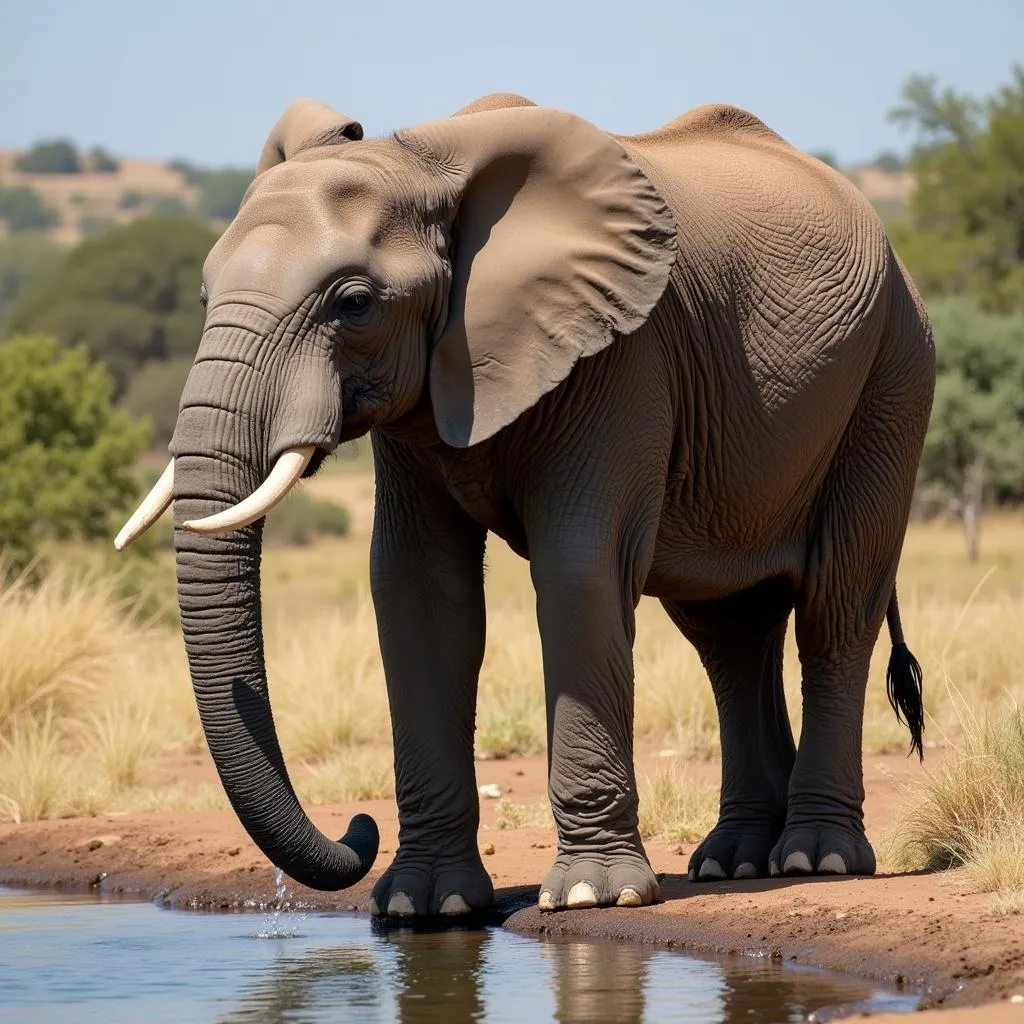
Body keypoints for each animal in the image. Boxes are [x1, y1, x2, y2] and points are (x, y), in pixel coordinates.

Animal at [117, 92, 937, 917]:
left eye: (354, 303)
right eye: (204, 296)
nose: (357, 830)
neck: (425, 162)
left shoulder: (623, 355)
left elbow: (578, 573)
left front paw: (590, 897)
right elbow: (417, 591)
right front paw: (423, 909)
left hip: (894, 372)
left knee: (836, 607)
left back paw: (814, 858)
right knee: (728, 633)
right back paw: (734, 862)